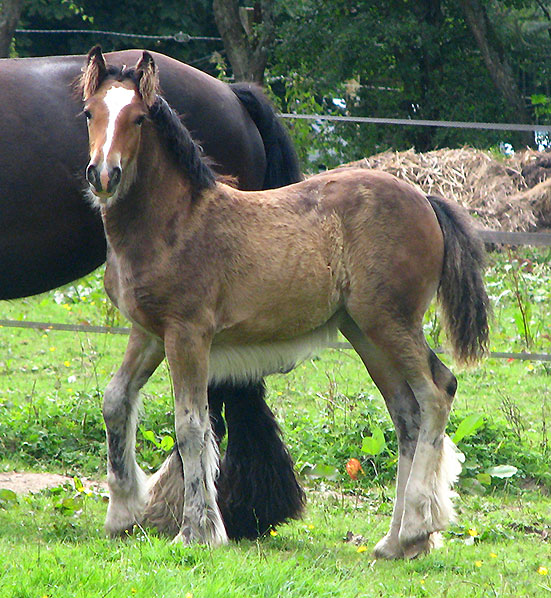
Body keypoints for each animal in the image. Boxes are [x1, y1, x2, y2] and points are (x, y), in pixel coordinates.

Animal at [0, 50, 304, 540]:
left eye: (139, 119)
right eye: (87, 114)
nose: (101, 174)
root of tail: (232, 94)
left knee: (220, 407)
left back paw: (222, 512)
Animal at [80, 49, 490, 560]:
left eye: (137, 118)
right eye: (89, 113)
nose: (103, 175)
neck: (173, 222)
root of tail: (426, 199)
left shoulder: (187, 334)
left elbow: (192, 426)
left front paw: (196, 532)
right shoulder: (149, 333)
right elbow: (116, 401)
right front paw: (121, 516)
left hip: (390, 322)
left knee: (436, 392)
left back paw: (416, 527)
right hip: (364, 331)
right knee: (407, 412)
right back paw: (396, 541)